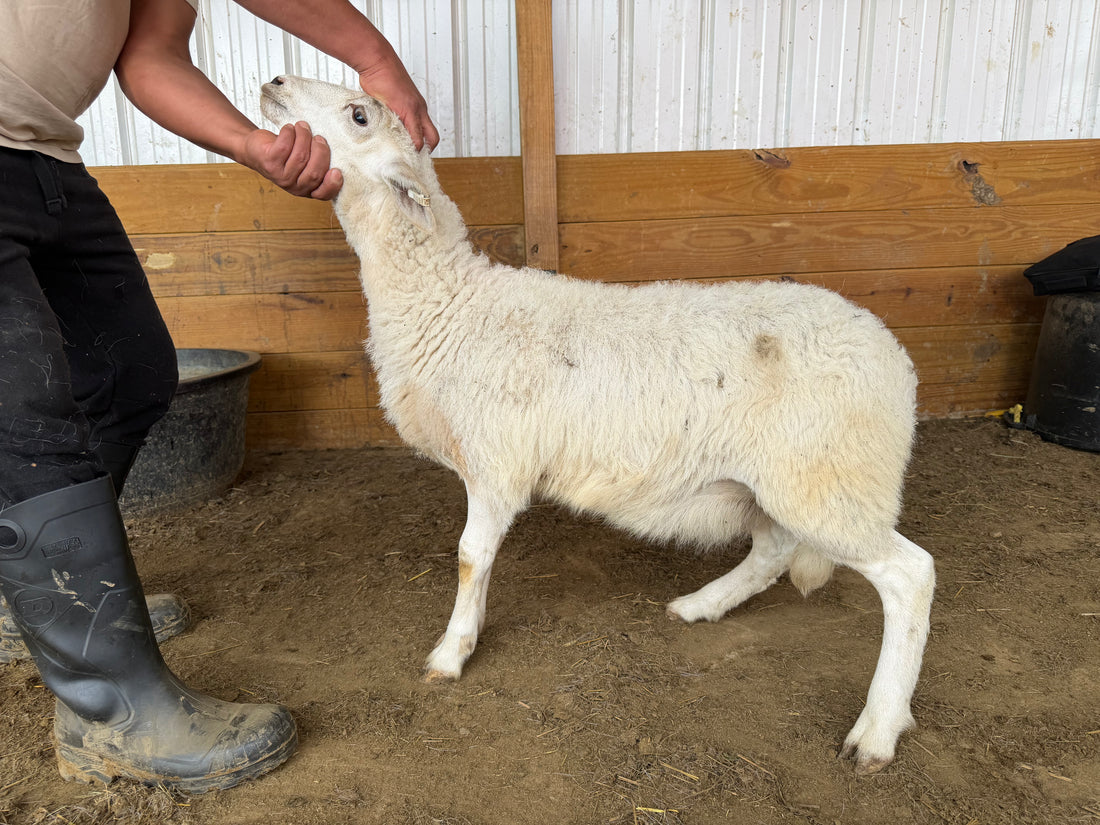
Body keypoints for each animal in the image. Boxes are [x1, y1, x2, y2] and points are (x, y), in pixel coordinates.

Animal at [260, 75, 936, 774]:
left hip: (829, 479)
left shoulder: (495, 460)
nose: (275, 82)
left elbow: (471, 557)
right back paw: (701, 605)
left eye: (358, 115)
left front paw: (452, 651)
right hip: (781, 480)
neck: (450, 302)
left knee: (910, 577)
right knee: (775, 548)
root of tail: (893, 357)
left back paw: (878, 730)